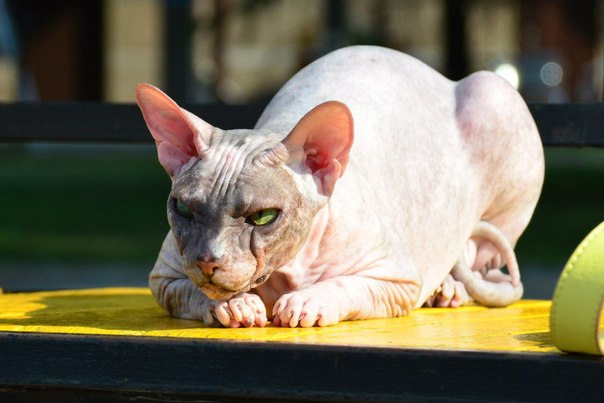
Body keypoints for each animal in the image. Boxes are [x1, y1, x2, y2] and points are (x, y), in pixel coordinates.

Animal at [136, 46, 544, 328]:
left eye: (264, 216)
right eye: (183, 209)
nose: (208, 261)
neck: (287, 269)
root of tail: (441, 75)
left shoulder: (397, 278)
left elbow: (349, 285)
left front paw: (307, 302)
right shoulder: (165, 277)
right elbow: (193, 292)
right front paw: (234, 304)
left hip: (497, 100)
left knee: (476, 253)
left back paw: (448, 288)